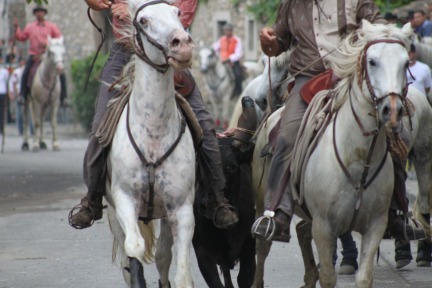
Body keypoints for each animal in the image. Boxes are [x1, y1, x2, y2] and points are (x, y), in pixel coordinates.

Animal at [106, 1, 196, 286]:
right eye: (143, 20)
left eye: (178, 13)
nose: (183, 45)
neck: (153, 135)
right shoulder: (124, 198)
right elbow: (133, 248)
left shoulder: (181, 209)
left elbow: (180, 273)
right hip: (113, 212)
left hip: (165, 217)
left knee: (163, 257)